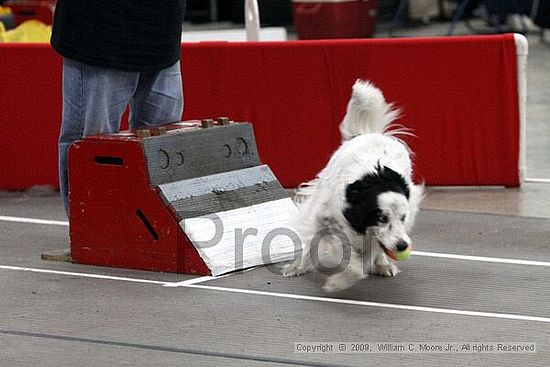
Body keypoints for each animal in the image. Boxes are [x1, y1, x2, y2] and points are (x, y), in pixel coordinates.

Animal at [282, 80, 424, 294]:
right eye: (382, 218)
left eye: (403, 217)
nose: (402, 246)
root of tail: (367, 133)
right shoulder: (322, 217)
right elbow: (320, 241)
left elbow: (364, 259)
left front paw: (340, 280)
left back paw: (382, 264)